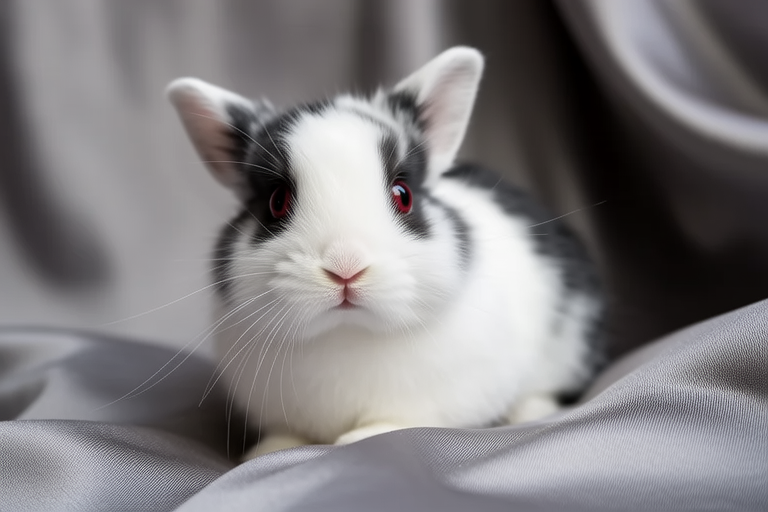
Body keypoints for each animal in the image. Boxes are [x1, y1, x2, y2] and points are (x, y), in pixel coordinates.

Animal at [167, 46, 604, 459]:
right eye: (277, 202)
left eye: (403, 195)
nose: (345, 267)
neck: (347, 331)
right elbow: (284, 436)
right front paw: (267, 451)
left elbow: (405, 422)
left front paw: (362, 437)